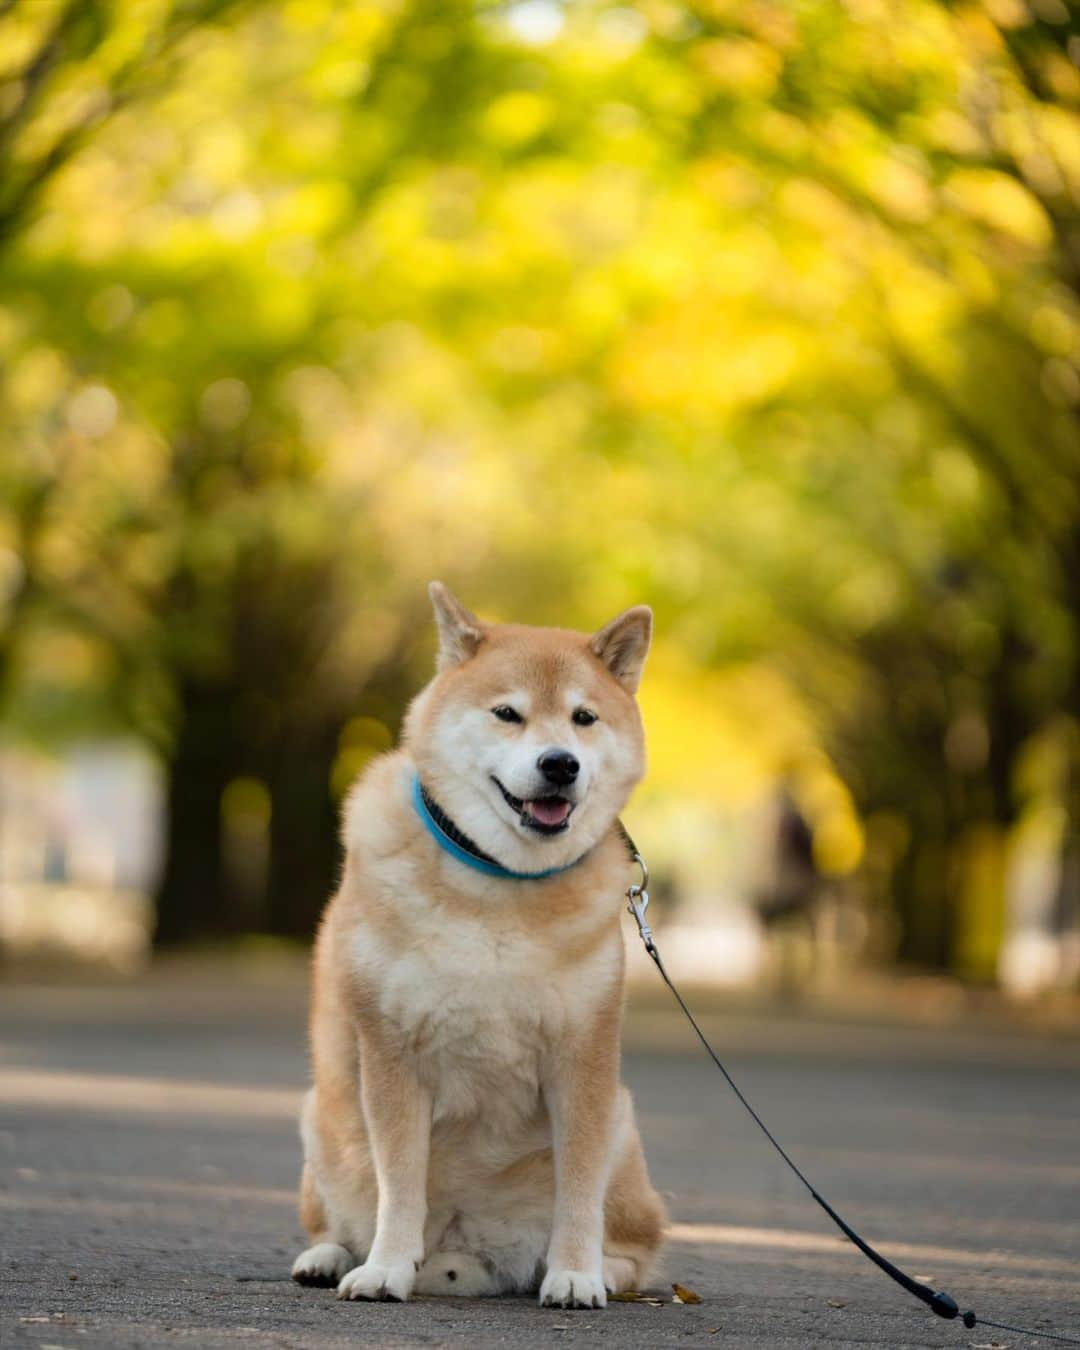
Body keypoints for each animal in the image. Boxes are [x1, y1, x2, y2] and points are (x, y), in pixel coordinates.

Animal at [291, 583, 661, 1306]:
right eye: (507, 714)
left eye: (583, 717)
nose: (560, 763)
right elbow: (399, 1183)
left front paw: (576, 1273)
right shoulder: (391, 1054)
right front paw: (385, 1267)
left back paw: (598, 1269)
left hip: (626, 1130)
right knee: (338, 1215)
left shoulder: (583, 1058)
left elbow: (579, 1188)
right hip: (324, 1119)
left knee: (638, 1249)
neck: (499, 881)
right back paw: (329, 1257)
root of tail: (473, 1249)